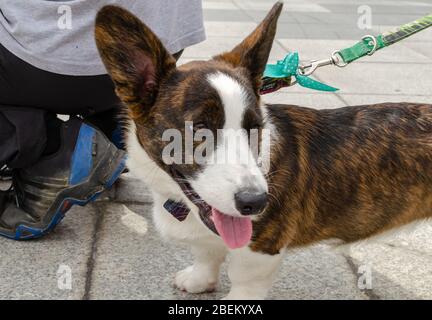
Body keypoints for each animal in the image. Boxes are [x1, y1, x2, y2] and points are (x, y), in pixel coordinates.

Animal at [96, 2, 432, 298]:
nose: (256, 203)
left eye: (254, 128)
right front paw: (198, 280)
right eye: (199, 128)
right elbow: (206, 254)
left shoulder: (259, 252)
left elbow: (244, 281)